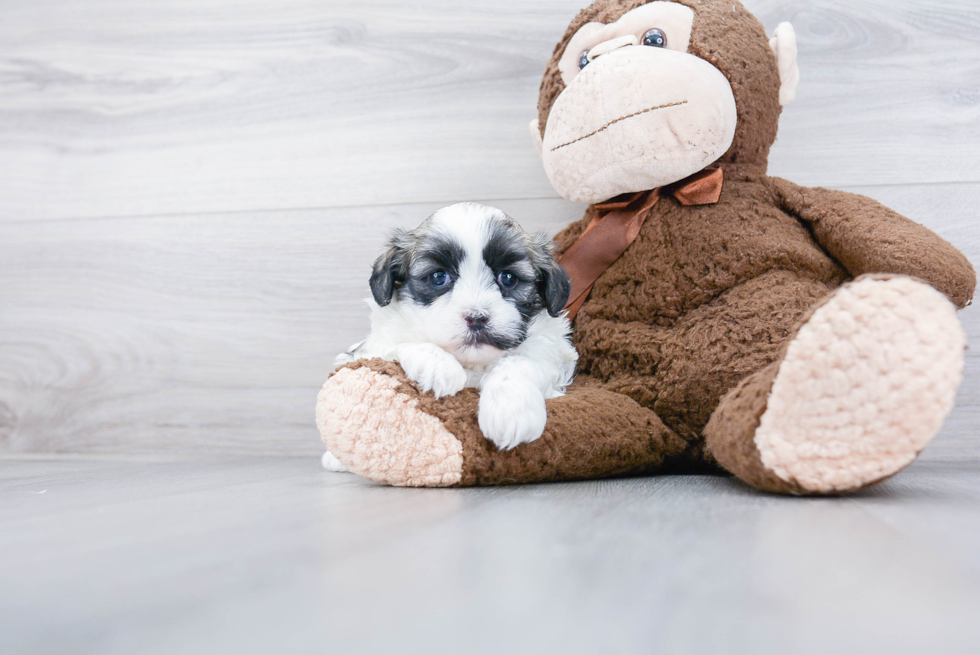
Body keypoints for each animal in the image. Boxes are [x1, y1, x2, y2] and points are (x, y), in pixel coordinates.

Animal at [322, 204, 580, 472]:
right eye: (438, 277)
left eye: (508, 278)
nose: (476, 318)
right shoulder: (377, 344)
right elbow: (399, 344)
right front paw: (438, 365)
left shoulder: (549, 351)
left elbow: (519, 362)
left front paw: (509, 410)